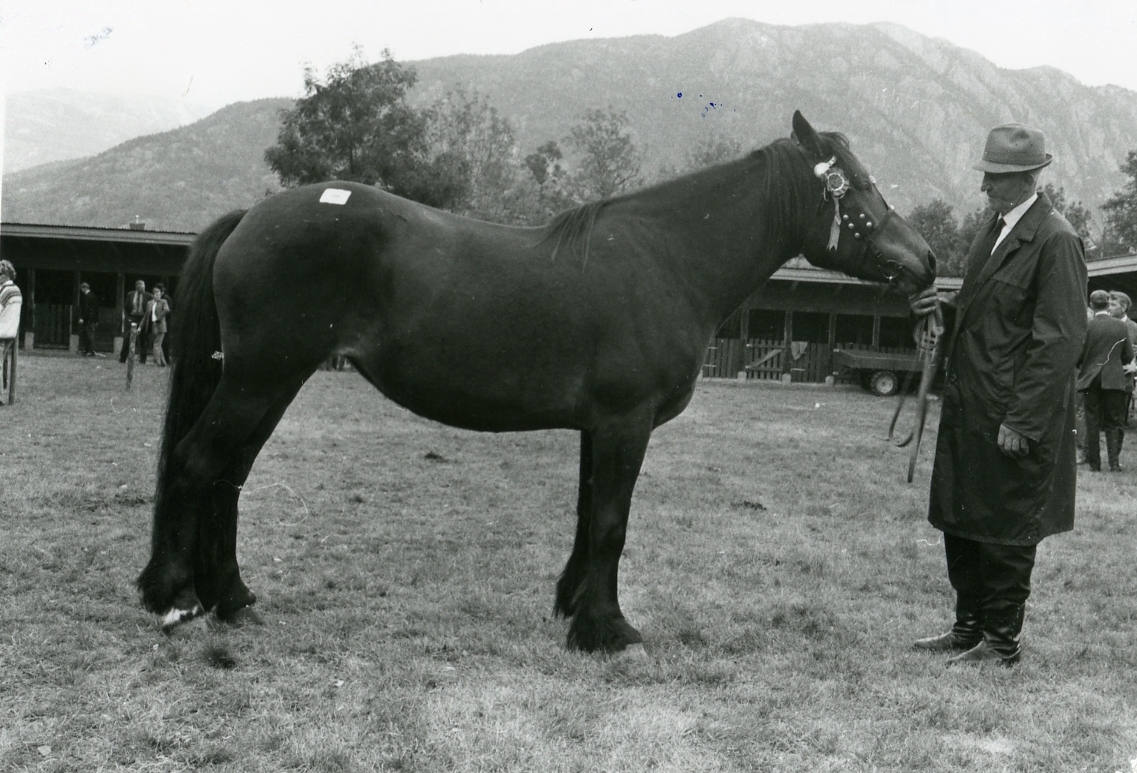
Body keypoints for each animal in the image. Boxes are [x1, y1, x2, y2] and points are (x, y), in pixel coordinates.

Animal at [137, 111, 936, 650]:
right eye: (860, 187)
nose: (926, 259)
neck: (666, 258)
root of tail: (253, 217)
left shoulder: (600, 426)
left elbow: (589, 517)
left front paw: (575, 609)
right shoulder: (625, 422)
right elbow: (611, 522)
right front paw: (609, 631)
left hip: (265, 382)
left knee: (227, 475)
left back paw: (231, 597)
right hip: (260, 378)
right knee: (199, 463)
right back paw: (176, 599)